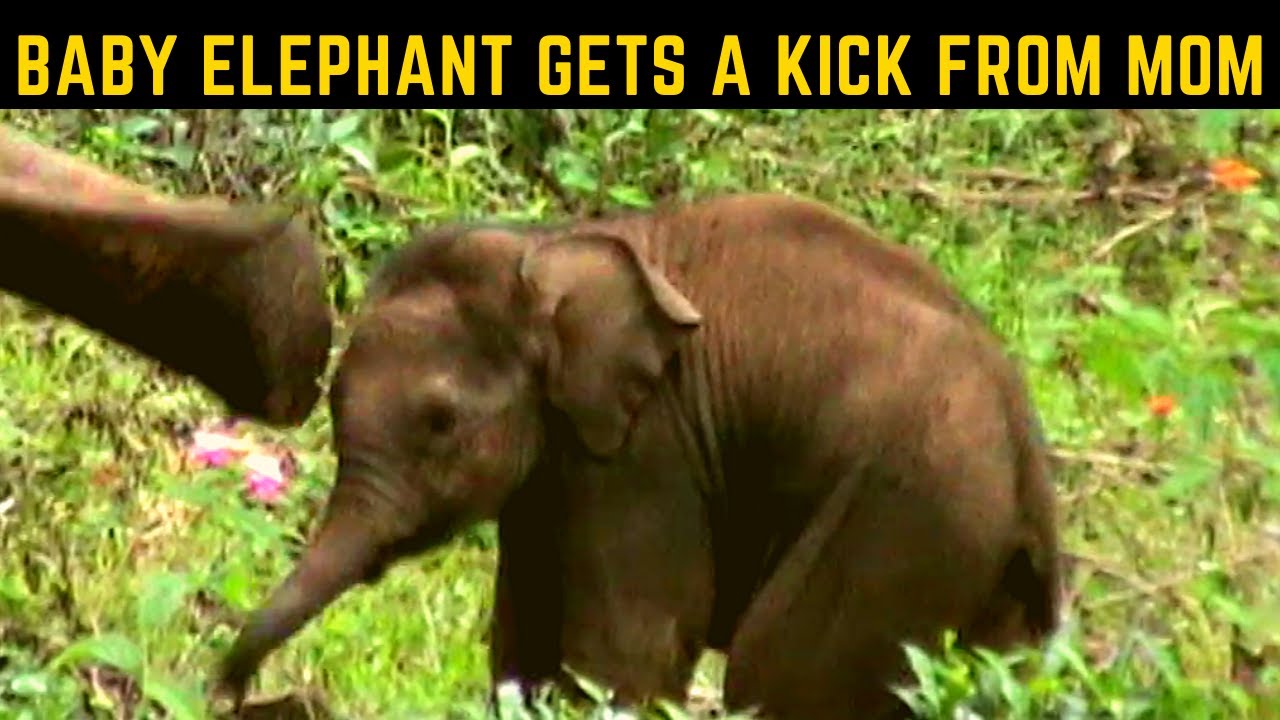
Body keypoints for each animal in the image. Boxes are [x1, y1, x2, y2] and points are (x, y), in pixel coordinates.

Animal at [215, 192, 1062, 719]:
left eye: (440, 422)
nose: (233, 692)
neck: (544, 246)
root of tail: (1026, 459)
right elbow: (521, 640)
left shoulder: (649, 450)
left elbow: (625, 654)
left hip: (900, 518)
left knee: (776, 677)